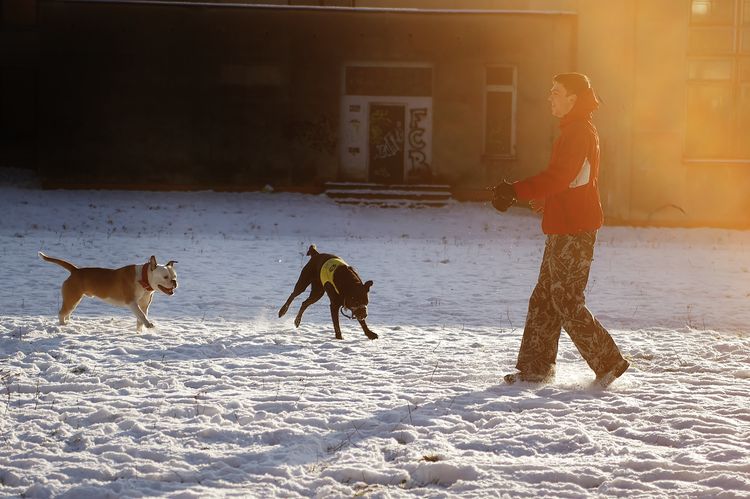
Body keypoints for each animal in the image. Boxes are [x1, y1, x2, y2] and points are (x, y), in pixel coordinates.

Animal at [39, 254, 178, 332]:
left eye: (174, 276)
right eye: (165, 277)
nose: (174, 282)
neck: (144, 279)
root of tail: (75, 270)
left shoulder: (144, 305)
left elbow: (140, 318)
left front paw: (139, 332)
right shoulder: (132, 303)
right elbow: (142, 315)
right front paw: (149, 325)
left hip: (73, 300)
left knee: (67, 313)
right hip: (72, 299)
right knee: (61, 313)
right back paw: (62, 326)